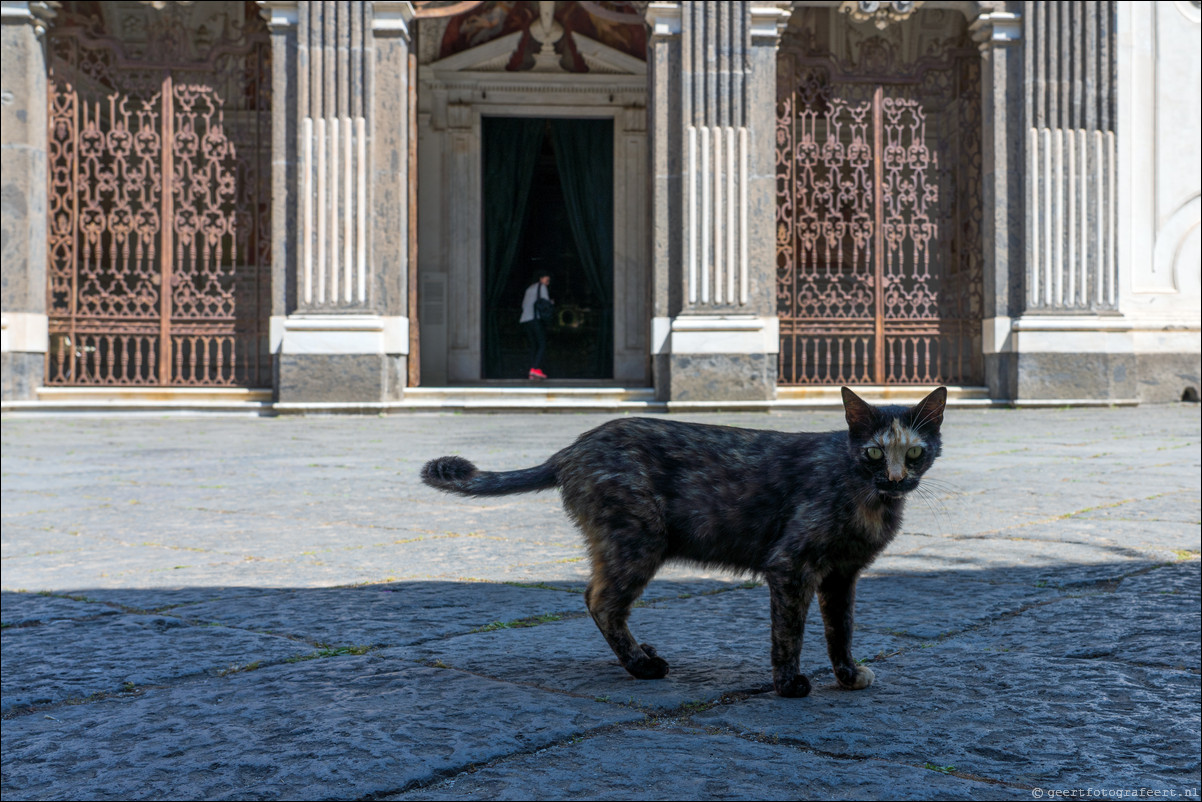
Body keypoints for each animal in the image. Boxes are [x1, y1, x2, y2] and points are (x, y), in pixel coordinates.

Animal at [423, 387, 947, 697]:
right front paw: (788, 684)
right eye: (874, 452)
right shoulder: (790, 567)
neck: (868, 497)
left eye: (915, 452)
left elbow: (842, 630)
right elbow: (789, 633)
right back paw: (642, 667)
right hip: (638, 542)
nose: (896, 478)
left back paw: (642, 655)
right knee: (600, 601)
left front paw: (848, 675)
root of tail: (571, 448)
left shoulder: (841, 576)